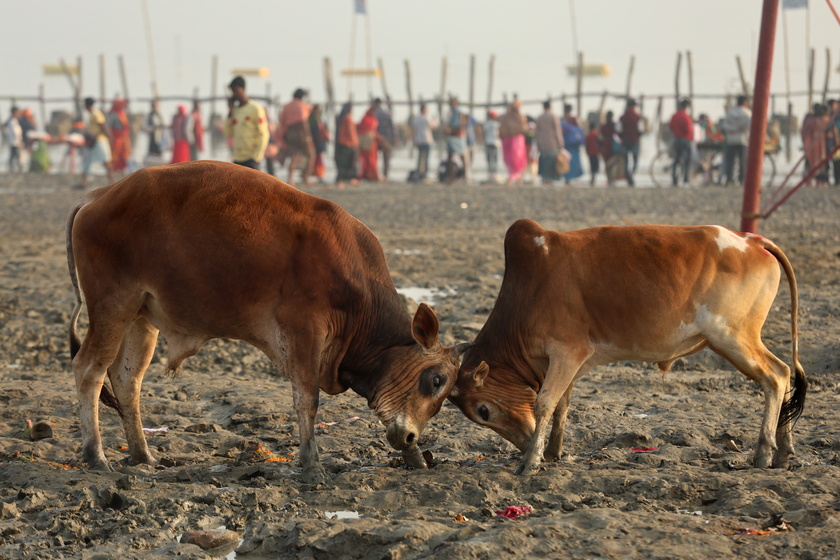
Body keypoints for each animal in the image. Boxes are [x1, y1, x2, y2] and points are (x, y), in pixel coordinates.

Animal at [66, 160, 470, 480]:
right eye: (435, 380)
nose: (410, 437)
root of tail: (98, 196)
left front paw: (415, 456)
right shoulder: (304, 329)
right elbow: (307, 400)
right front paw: (312, 465)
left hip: (139, 318)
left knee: (126, 381)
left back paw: (142, 455)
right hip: (111, 307)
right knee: (89, 370)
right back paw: (96, 456)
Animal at [452, 221, 808, 474]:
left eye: (483, 410)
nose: (525, 441)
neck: (528, 291)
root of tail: (751, 240)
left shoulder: (567, 351)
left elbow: (545, 403)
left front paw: (530, 461)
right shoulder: (567, 362)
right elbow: (561, 405)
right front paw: (551, 452)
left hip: (733, 338)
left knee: (777, 376)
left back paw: (764, 452)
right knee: (784, 374)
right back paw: (783, 451)